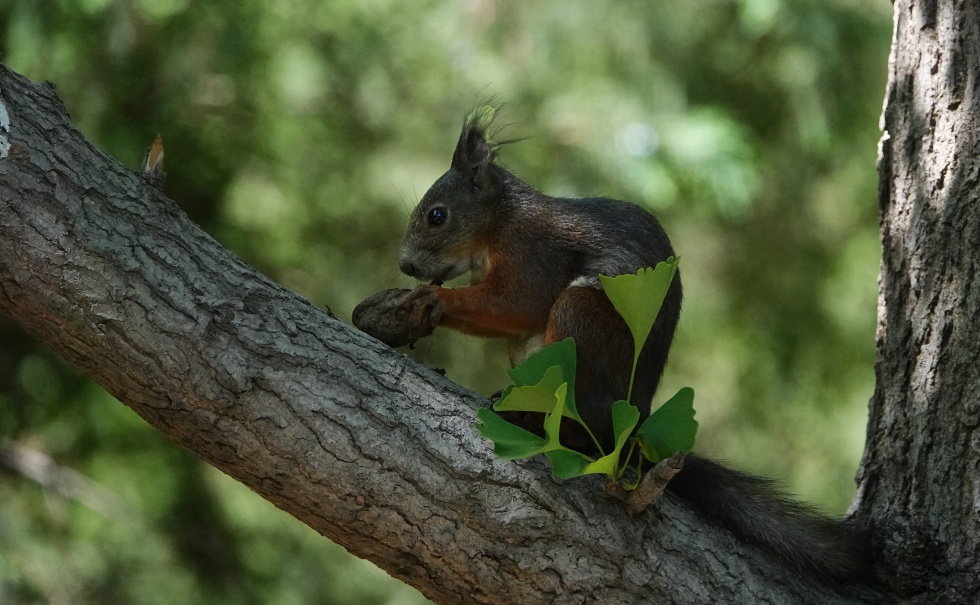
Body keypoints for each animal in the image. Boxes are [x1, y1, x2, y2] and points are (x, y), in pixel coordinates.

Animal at [352, 108, 872, 584]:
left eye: (437, 216)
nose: (406, 266)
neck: (498, 223)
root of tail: (635, 423)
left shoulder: (533, 253)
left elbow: (517, 302)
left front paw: (432, 300)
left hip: (582, 317)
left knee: (585, 425)